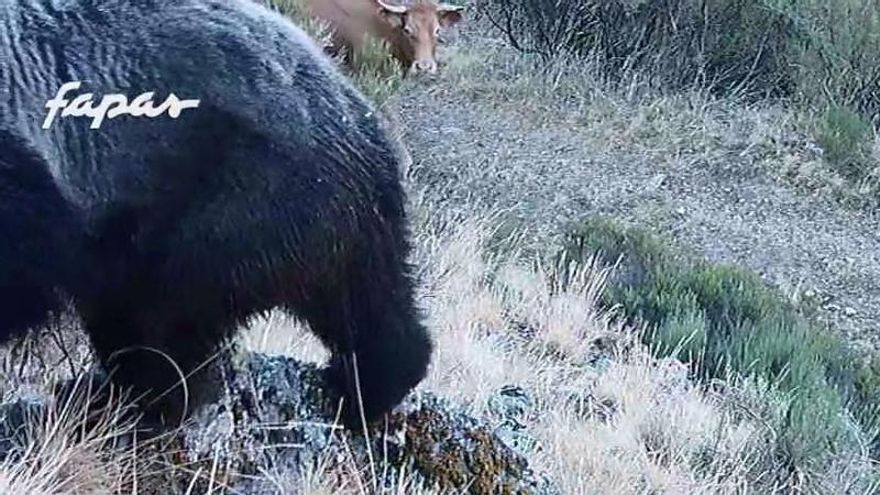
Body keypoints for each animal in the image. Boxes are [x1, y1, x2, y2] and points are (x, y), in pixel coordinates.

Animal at [0, 0, 432, 430]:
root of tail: (359, 115)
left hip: (237, 197)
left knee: (163, 315)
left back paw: (115, 398)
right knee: (366, 295)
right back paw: (368, 383)